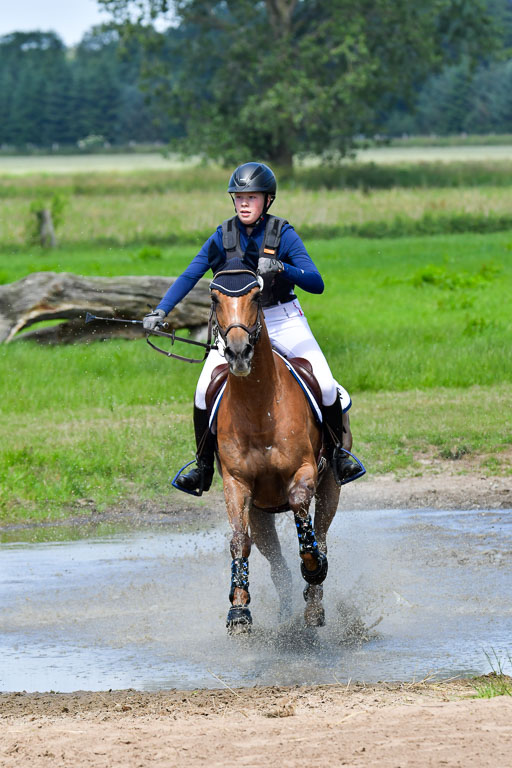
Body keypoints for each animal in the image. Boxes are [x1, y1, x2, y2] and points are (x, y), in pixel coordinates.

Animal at [208, 246, 341, 634]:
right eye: (214, 297)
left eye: (255, 295)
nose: (237, 352)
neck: (259, 408)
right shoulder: (237, 484)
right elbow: (239, 540)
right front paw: (239, 609)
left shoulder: (305, 470)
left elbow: (300, 512)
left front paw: (313, 567)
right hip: (261, 512)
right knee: (275, 560)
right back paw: (286, 608)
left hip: (331, 486)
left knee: (320, 533)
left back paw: (314, 603)